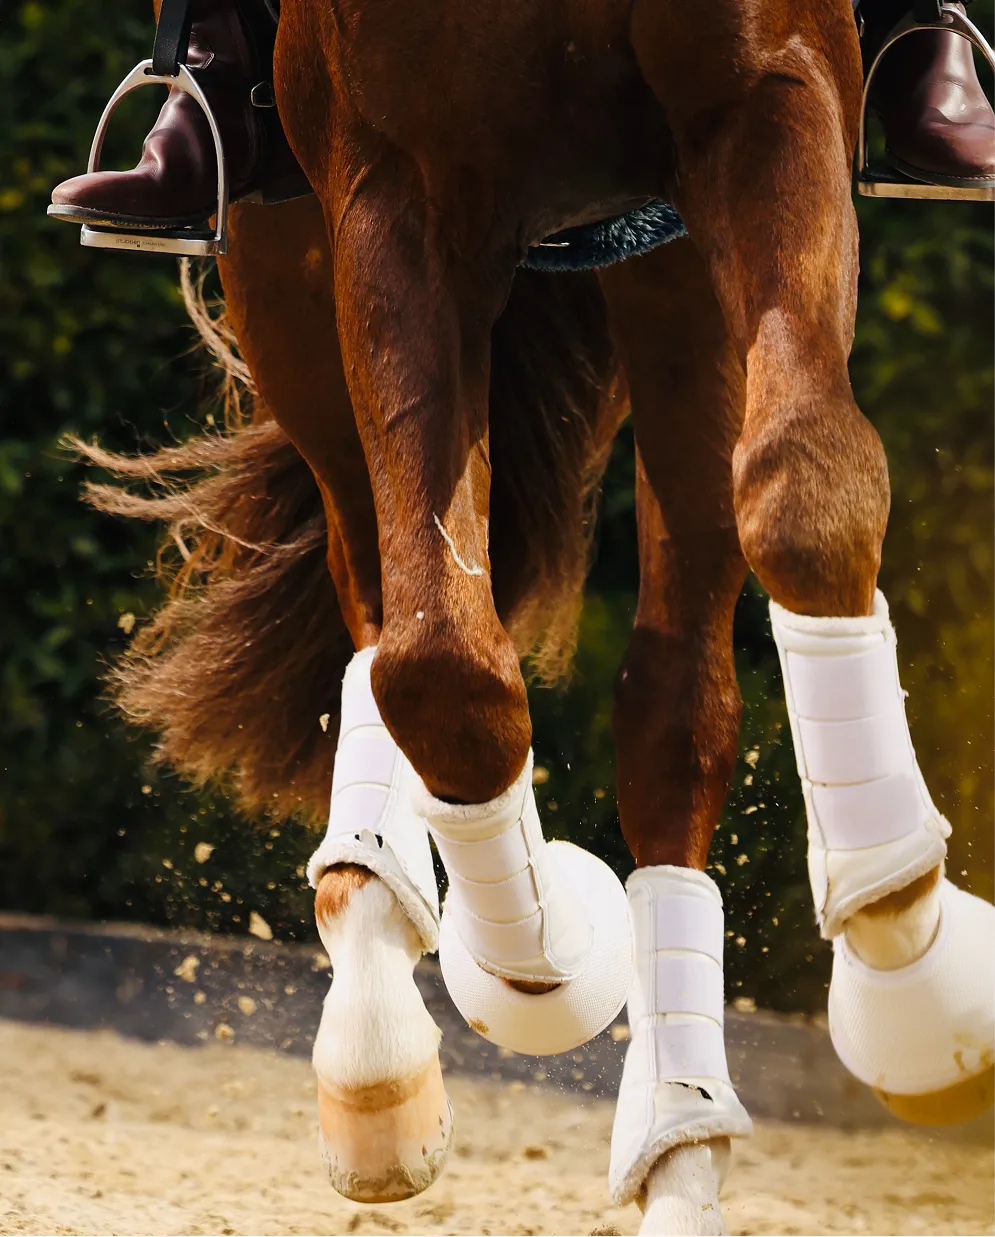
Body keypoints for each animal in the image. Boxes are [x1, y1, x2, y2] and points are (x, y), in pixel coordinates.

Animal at [79, 0, 995, 1229]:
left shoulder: (767, 96)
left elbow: (808, 489)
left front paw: (918, 980)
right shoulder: (389, 194)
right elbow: (440, 664)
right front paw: (537, 960)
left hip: (674, 282)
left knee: (677, 706)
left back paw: (679, 1144)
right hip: (290, 279)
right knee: (383, 618)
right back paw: (379, 1029)